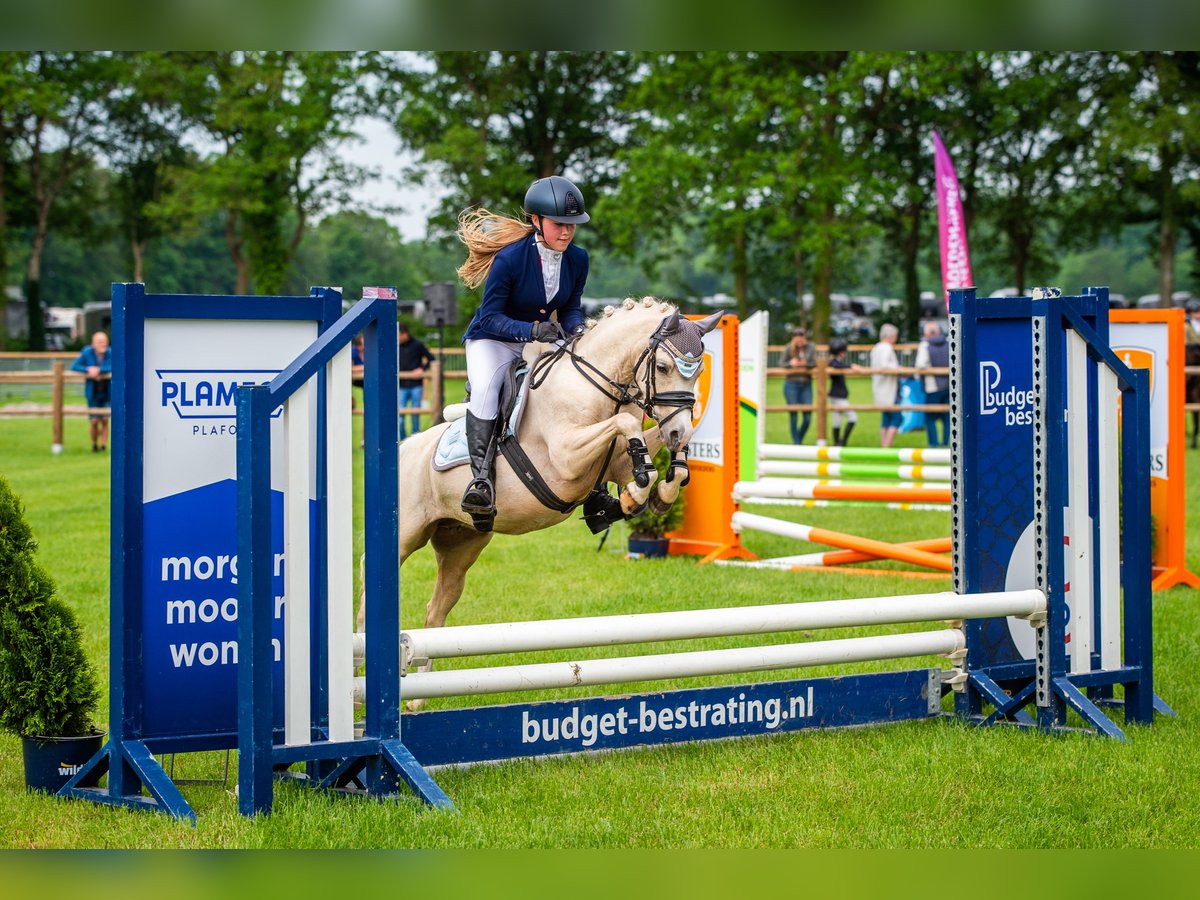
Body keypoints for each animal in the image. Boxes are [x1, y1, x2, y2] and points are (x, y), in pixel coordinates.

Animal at [357, 300, 720, 657]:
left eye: (699, 372)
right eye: (663, 368)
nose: (677, 431)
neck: (593, 387)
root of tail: (404, 450)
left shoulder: (614, 461)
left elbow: (649, 455)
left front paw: (651, 494)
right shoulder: (567, 458)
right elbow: (627, 426)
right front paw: (638, 489)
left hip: (461, 544)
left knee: (435, 613)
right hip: (406, 534)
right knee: (368, 585)